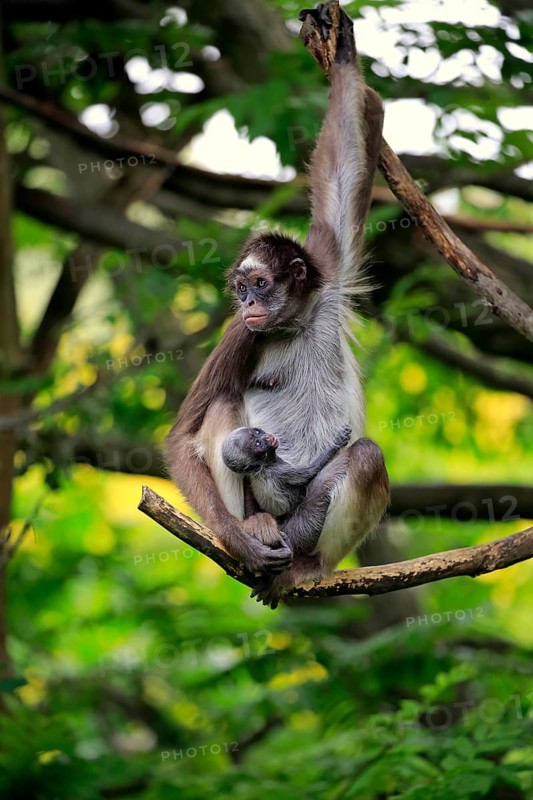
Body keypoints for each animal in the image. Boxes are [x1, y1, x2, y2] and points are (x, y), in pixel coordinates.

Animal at [165, 2, 390, 607]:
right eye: (241, 290)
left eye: (261, 284)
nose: (249, 304)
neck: (297, 321)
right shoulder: (240, 333)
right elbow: (181, 439)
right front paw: (240, 542)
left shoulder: (327, 274)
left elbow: (342, 171)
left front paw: (342, 52)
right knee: (223, 408)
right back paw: (256, 532)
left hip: (308, 526)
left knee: (365, 457)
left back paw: (306, 566)